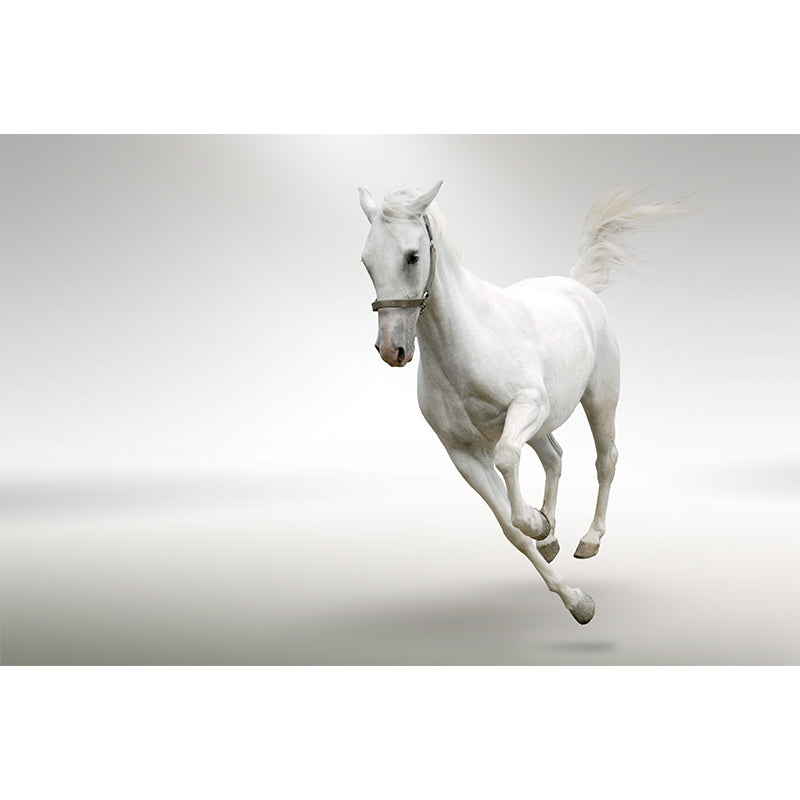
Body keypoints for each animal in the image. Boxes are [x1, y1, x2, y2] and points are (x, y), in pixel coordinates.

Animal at [358, 182, 683, 624]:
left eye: (412, 256)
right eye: (366, 262)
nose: (392, 349)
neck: (468, 341)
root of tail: (576, 286)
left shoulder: (527, 407)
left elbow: (509, 460)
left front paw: (538, 524)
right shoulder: (463, 453)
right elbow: (511, 530)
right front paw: (574, 595)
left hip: (599, 399)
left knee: (606, 460)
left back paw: (590, 539)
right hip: (544, 425)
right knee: (555, 457)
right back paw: (552, 535)